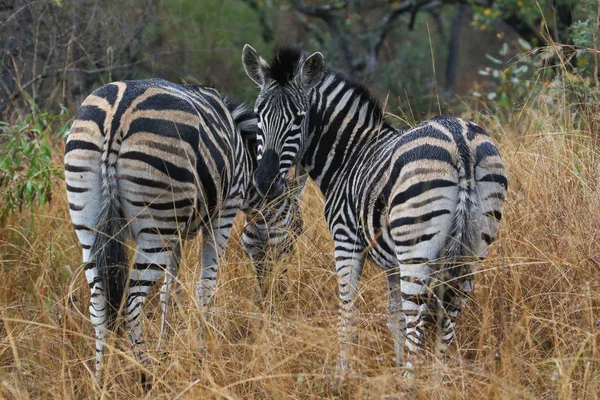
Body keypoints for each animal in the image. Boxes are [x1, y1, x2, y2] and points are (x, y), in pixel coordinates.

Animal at [65, 79, 304, 378]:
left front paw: (166, 346)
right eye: (297, 233)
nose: (275, 299)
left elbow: (170, 291)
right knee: (131, 307)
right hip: (155, 223)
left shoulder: (175, 234)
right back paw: (147, 376)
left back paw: (101, 379)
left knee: (99, 305)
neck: (248, 166)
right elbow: (206, 286)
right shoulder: (224, 212)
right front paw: (203, 353)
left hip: (90, 220)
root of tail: (117, 113)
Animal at [240, 45, 506, 376]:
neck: (350, 155)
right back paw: (434, 379)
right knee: (447, 319)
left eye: (298, 119)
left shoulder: (346, 242)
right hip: (473, 248)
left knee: (418, 323)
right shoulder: (392, 262)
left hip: (416, 247)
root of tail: (460, 140)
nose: (264, 181)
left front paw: (342, 374)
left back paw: (410, 381)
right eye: (258, 115)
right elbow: (394, 318)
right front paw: (392, 368)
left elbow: (348, 310)